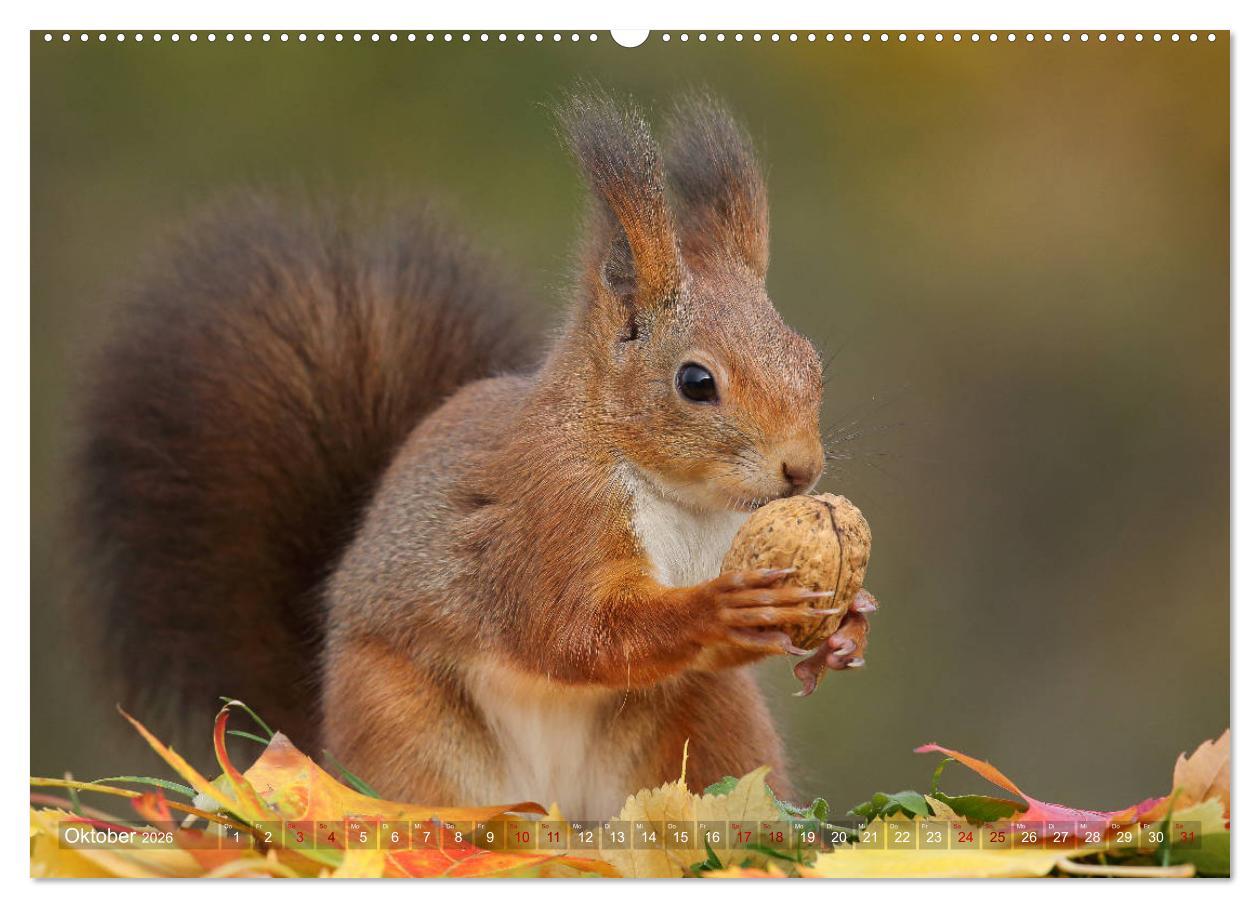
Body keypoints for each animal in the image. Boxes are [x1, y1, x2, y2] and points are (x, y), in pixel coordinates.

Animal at [76, 91, 874, 818]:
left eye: (811, 362)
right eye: (696, 382)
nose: (801, 470)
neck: (680, 499)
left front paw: (849, 625)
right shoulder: (550, 523)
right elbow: (576, 633)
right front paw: (720, 607)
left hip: (709, 724)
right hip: (403, 727)